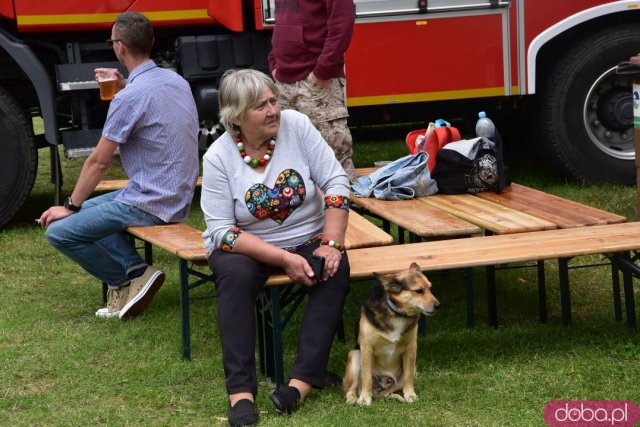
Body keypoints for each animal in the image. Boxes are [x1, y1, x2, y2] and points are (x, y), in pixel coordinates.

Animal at [344, 262, 440, 406]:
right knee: (352, 388)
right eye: (419, 291)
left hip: (409, 371)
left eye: (430, 288)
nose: (438, 305)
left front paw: (410, 394)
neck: (396, 313)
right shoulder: (366, 348)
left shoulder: (411, 347)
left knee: (388, 391)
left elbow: (408, 376)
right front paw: (365, 398)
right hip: (355, 355)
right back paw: (353, 397)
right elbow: (367, 377)